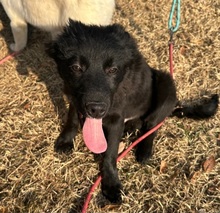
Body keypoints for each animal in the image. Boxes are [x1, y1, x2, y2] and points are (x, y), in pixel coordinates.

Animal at [47, 20, 217, 205]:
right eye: (76, 67)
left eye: (113, 70)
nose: (96, 109)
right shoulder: (73, 97)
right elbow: (71, 119)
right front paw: (65, 140)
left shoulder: (116, 117)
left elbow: (110, 153)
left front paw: (111, 184)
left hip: (167, 86)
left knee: (151, 126)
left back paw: (144, 150)